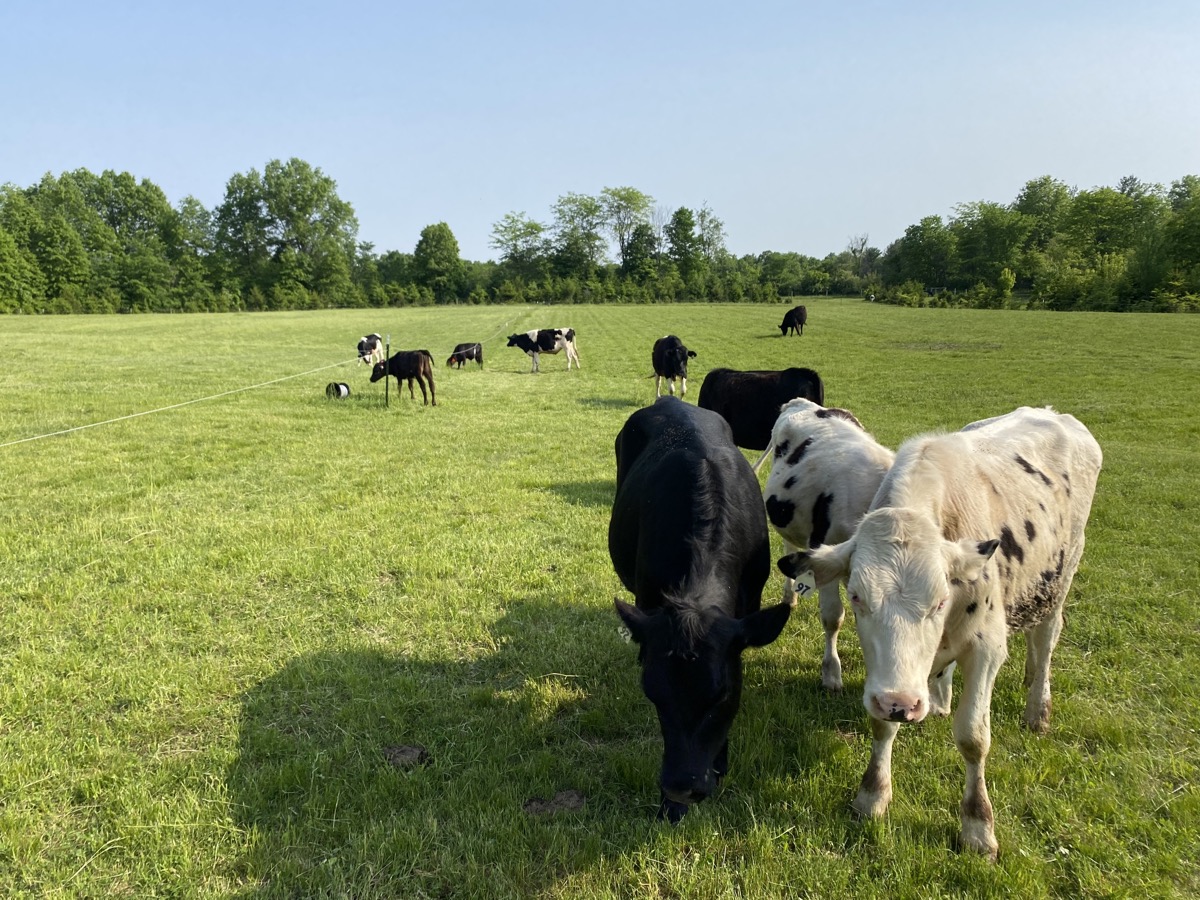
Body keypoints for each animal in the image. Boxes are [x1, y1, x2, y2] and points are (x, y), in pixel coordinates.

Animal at [778, 406, 1102, 859]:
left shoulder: (986, 649)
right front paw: (873, 795)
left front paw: (978, 827)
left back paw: (1038, 707)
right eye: (857, 596)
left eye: (940, 600)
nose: (904, 703)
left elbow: (973, 737)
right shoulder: (887, 678)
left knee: (1046, 637)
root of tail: (1055, 414)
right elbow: (882, 726)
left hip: (1061, 575)